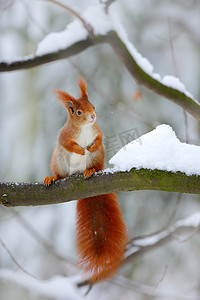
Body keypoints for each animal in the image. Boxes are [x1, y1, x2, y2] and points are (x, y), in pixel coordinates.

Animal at [43, 78, 128, 282]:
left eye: (94, 106)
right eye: (79, 112)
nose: (93, 117)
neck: (85, 129)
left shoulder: (98, 132)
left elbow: (99, 139)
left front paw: (90, 147)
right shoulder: (65, 136)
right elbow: (68, 144)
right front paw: (80, 150)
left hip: (97, 160)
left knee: (95, 166)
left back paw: (89, 171)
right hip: (58, 162)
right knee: (60, 175)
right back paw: (52, 177)